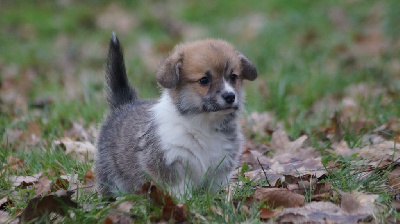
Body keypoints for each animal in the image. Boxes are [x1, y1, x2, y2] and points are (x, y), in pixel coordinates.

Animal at [95, 32, 258, 197]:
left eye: (233, 77)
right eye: (204, 80)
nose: (230, 96)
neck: (203, 124)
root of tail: (124, 104)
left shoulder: (221, 166)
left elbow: (214, 187)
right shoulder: (169, 163)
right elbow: (179, 188)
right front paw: (183, 201)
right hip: (111, 176)